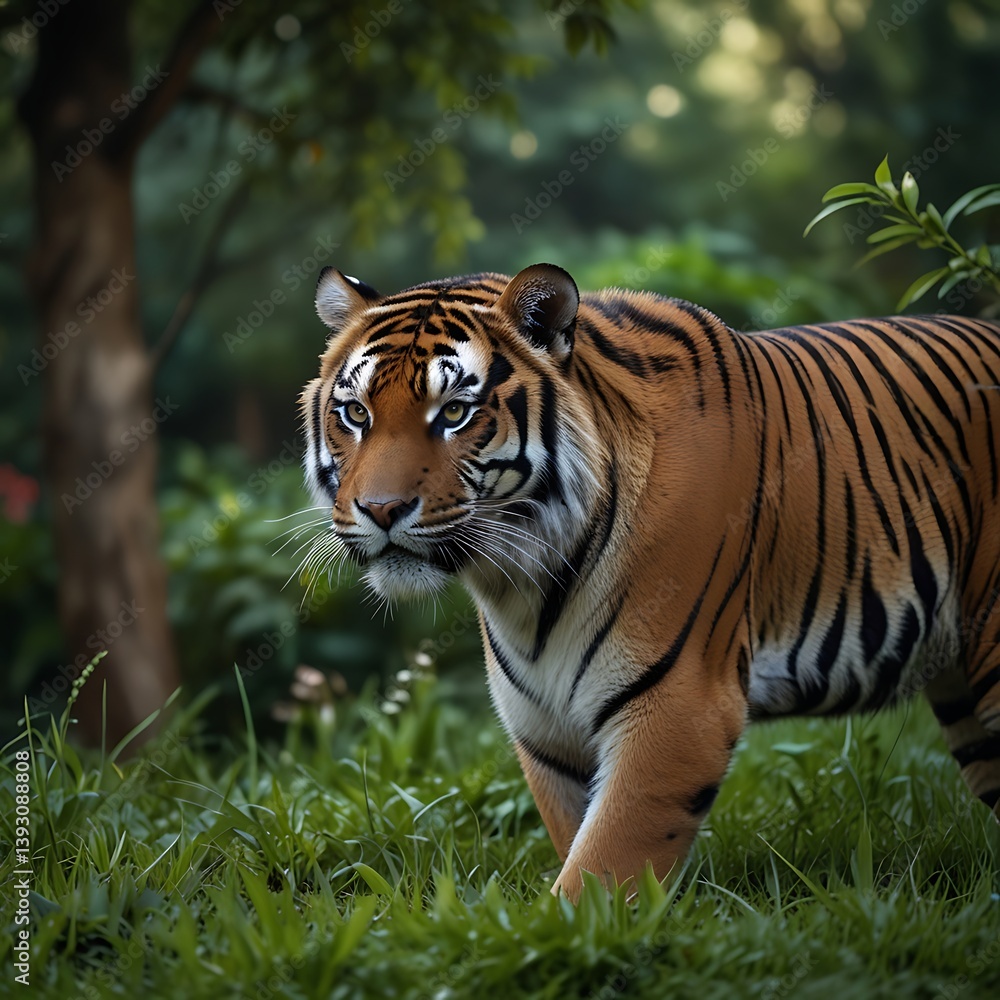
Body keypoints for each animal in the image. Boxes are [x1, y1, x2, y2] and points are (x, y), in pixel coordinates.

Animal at [299, 261, 1000, 902]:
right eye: (355, 413)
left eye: (454, 413)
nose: (381, 510)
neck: (525, 584)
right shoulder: (546, 732)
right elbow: (580, 843)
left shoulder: (680, 706)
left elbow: (601, 868)